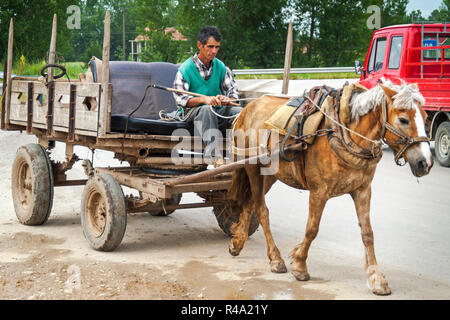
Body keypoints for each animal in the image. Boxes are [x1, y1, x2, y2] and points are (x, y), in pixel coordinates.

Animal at [227, 80, 434, 296]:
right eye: (403, 119)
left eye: (426, 118)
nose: (425, 163)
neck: (344, 132)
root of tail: (247, 109)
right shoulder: (319, 192)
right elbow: (312, 229)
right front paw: (300, 265)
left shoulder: (363, 190)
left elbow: (367, 233)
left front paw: (376, 277)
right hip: (252, 167)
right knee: (261, 209)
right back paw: (275, 258)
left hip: (271, 174)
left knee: (250, 203)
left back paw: (237, 242)